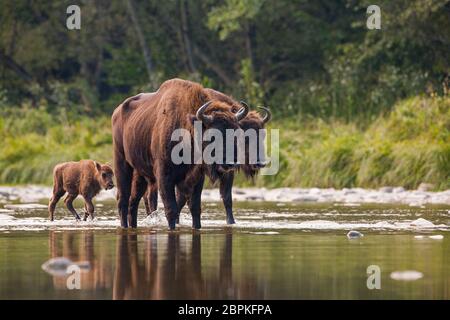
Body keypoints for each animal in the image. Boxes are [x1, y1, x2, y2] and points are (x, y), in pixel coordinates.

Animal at [111, 80, 246, 230]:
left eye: (236, 132)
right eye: (212, 136)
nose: (231, 162)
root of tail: (116, 112)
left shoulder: (196, 178)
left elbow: (195, 208)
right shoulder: (164, 177)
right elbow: (171, 209)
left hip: (140, 173)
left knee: (133, 201)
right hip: (121, 162)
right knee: (123, 199)